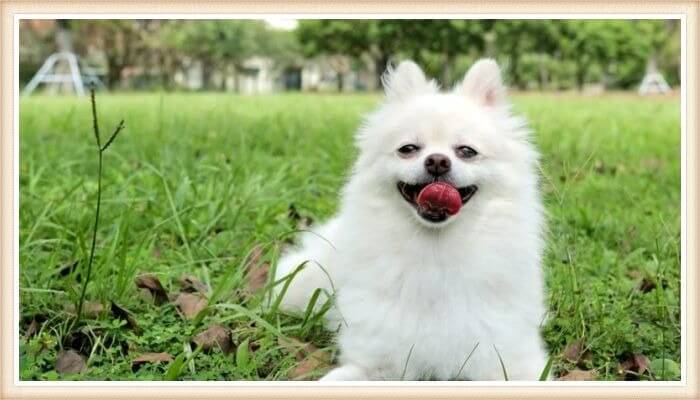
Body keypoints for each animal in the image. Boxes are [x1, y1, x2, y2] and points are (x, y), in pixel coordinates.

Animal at [274, 57, 548, 380]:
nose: (437, 161)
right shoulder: (373, 362)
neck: (436, 252)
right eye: (408, 149)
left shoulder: (511, 359)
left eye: (467, 151)